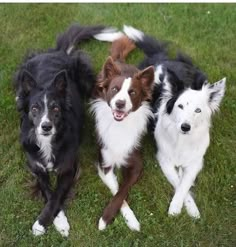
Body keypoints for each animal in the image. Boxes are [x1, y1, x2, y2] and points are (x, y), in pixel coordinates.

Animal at [14, 24, 119, 236]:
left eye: (55, 108)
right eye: (34, 109)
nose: (46, 126)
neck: (48, 142)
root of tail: (57, 52)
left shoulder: (68, 168)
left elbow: (56, 195)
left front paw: (46, 222)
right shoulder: (37, 168)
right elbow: (48, 192)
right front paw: (56, 221)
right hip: (22, 72)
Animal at [91, 31, 156, 231]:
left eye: (132, 93)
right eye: (114, 89)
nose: (120, 103)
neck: (120, 125)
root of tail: (119, 61)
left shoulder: (137, 164)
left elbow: (122, 191)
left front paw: (126, 220)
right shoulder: (105, 164)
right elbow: (117, 190)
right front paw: (113, 218)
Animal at [123, 25, 225, 218]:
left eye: (198, 110)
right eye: (180, 106)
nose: (185, 127)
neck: (182, 140)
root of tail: (162, 58)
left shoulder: (196, 162)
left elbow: (184, 183)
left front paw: (190, 210)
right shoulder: (164, 158)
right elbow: (179, 181)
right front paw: (179, 208)